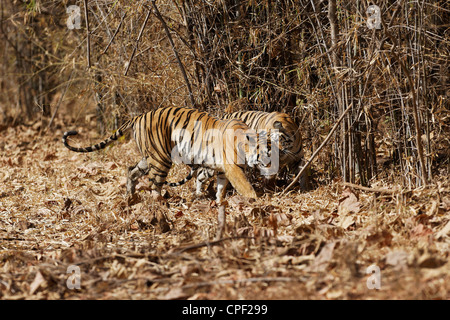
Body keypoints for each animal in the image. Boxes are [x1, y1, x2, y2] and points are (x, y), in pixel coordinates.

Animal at [63, 107, 268, 202]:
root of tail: (138, 116)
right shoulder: (232, 169)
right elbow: (245, 186)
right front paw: (255, 200)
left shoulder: (223, 170)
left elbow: (220, 188)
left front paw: (219, 202)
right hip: (160, 158)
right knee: (154, 185)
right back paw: (160, 203)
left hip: (149, 158)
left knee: (131, 171)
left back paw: (129, 197)